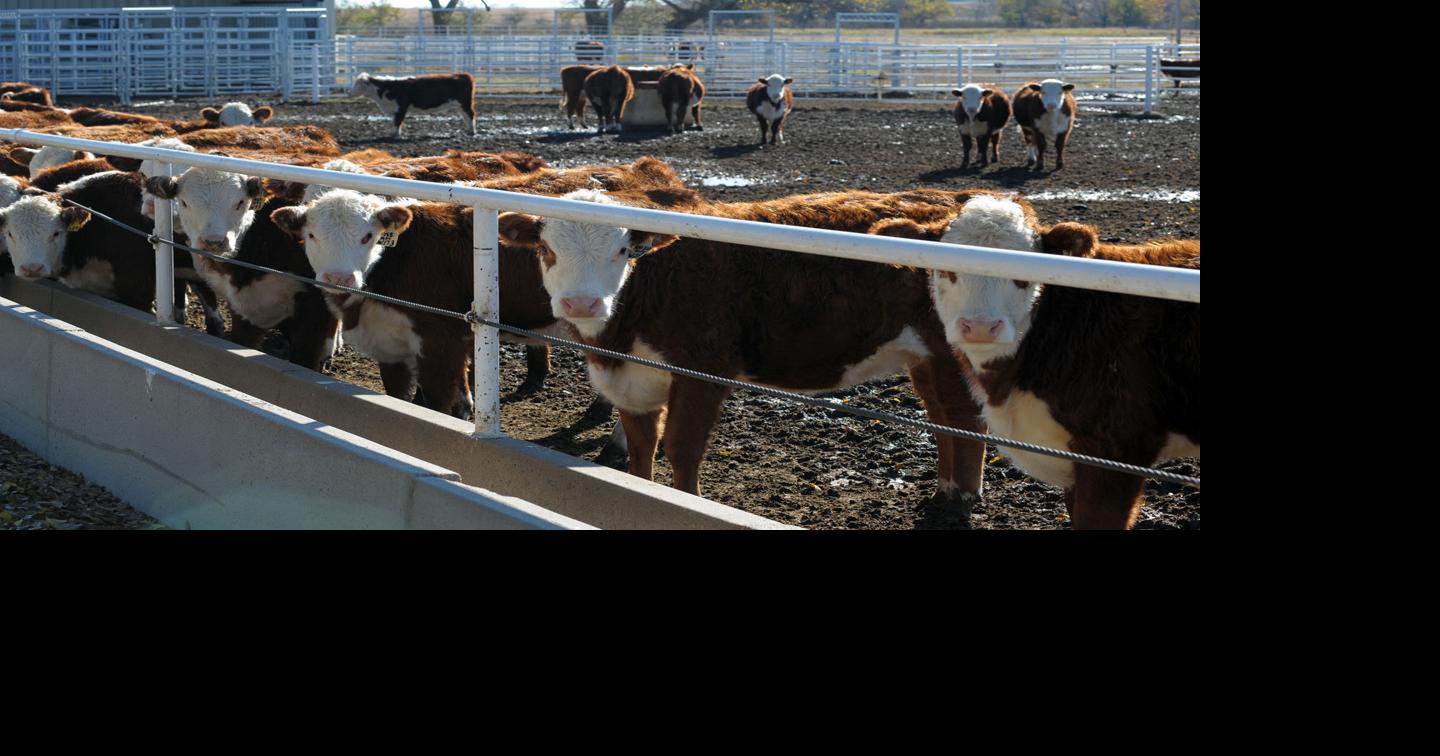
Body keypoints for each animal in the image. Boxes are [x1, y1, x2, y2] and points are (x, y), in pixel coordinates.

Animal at [495, 185, 990, 504]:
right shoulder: (631, 381)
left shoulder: (702, 370)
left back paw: (959, 499)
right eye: (546, 250)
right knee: (943, 417)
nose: (581, 302)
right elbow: (642, 447)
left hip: (955, 350)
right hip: (923, 356)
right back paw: (946, 489)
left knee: (964, 417)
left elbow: (681, 447)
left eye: (622, 251)